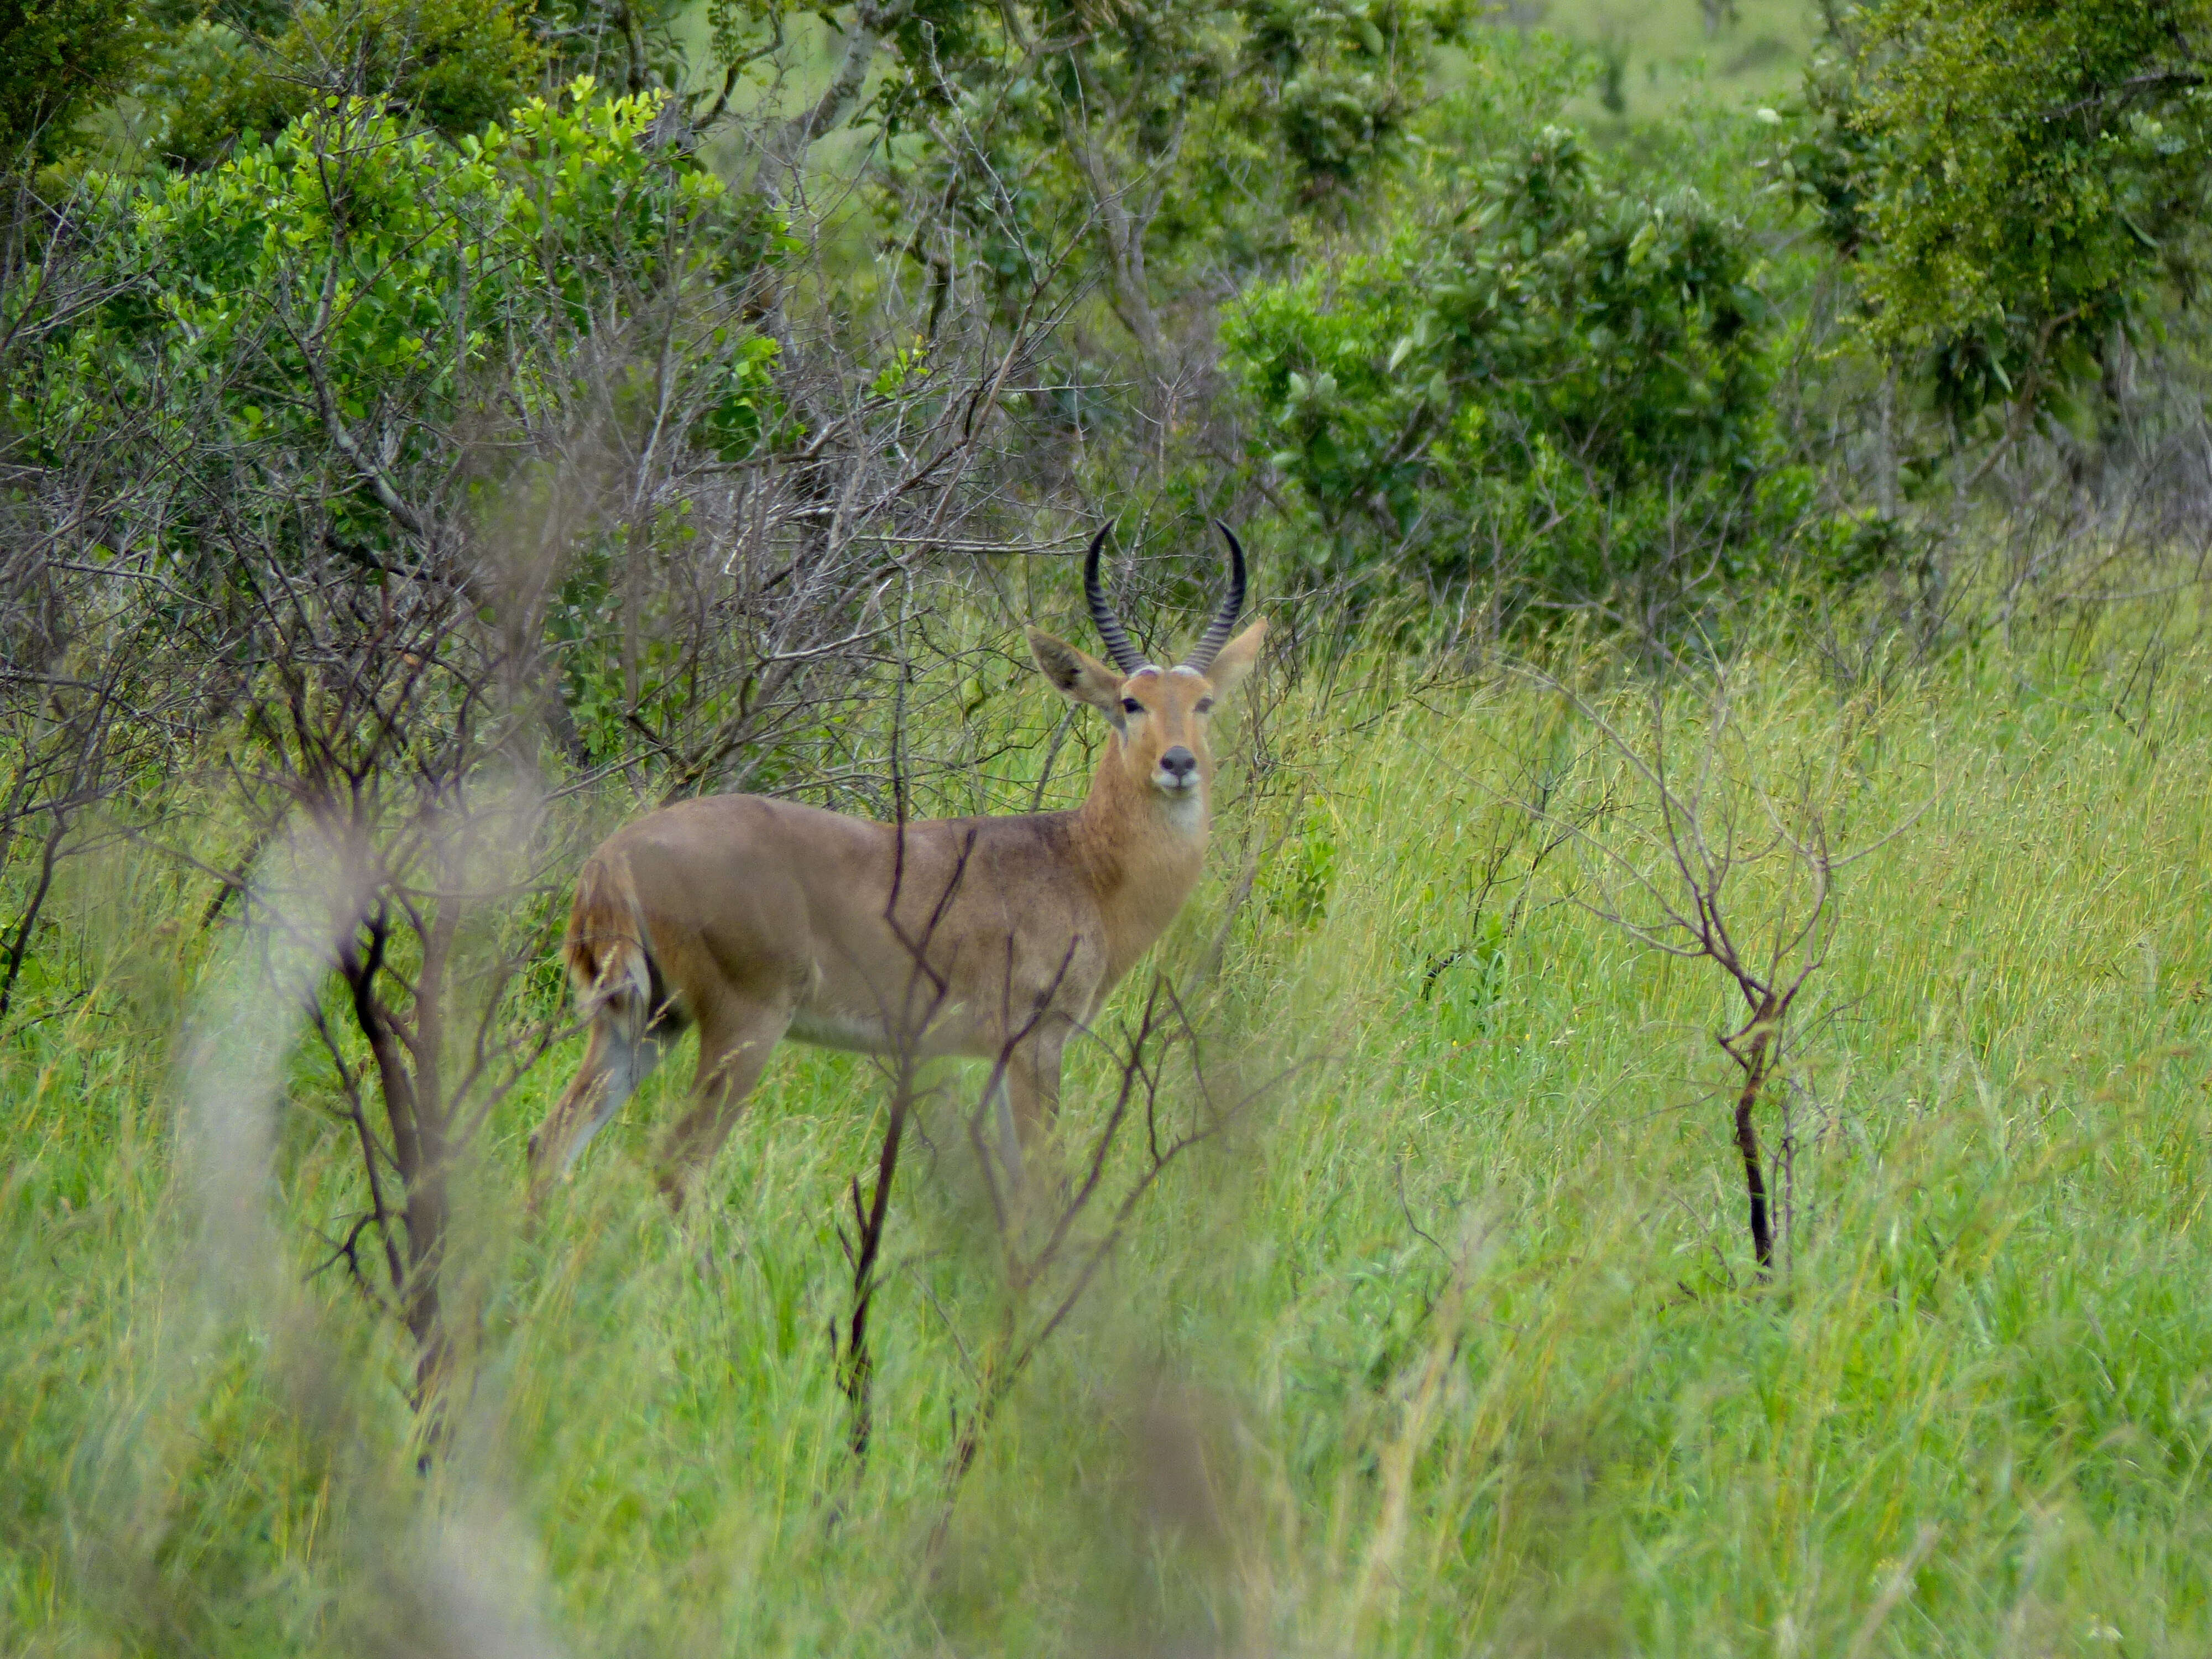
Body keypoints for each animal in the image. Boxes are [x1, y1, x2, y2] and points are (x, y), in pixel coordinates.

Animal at [520, 522, 1274, 1212]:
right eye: (1129, 702)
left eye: (1204, 701)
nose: (1178, 763)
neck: (1079, 864)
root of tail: (612, 857)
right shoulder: (1034, 1044)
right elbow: (1044, 1187)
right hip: (742, 1025)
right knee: (678, 1165)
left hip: (645, 1023)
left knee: (550, 1142)